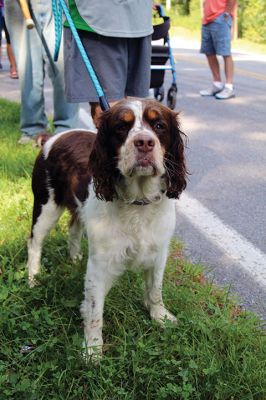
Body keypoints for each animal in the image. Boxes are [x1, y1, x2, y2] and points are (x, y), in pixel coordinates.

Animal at [26, 98, 185, 358]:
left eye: (159, 125)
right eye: (122, 126)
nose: (144, 142)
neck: (137, 202)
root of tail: (53, 136)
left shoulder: (159, 252)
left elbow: (155, 290)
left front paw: (160, 317)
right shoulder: (100, 265)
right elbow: (94, 311)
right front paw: (92, 351)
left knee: (74, 226)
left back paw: (74, 257)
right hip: (45, 206)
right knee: (34, 243)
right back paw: (33, 279)